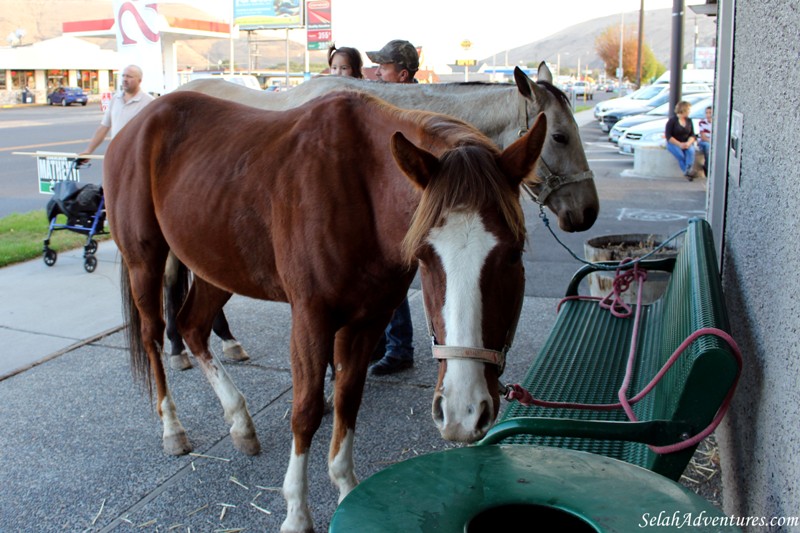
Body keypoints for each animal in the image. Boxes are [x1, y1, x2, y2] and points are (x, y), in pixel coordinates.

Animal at [103, 91, 548, 532]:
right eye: (424, 255)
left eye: (514, 253)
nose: (463, 412)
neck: (360, 189)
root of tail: (135, 124)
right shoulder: (310, 318)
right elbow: (306, 411)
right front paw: (297, 514)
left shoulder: (369, 319)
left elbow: (348, 399)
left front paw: (347, 489)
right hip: (145, 260)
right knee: (153, 334)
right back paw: (172, 428)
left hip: (216, 264)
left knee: (193, 326)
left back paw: (240, 421)